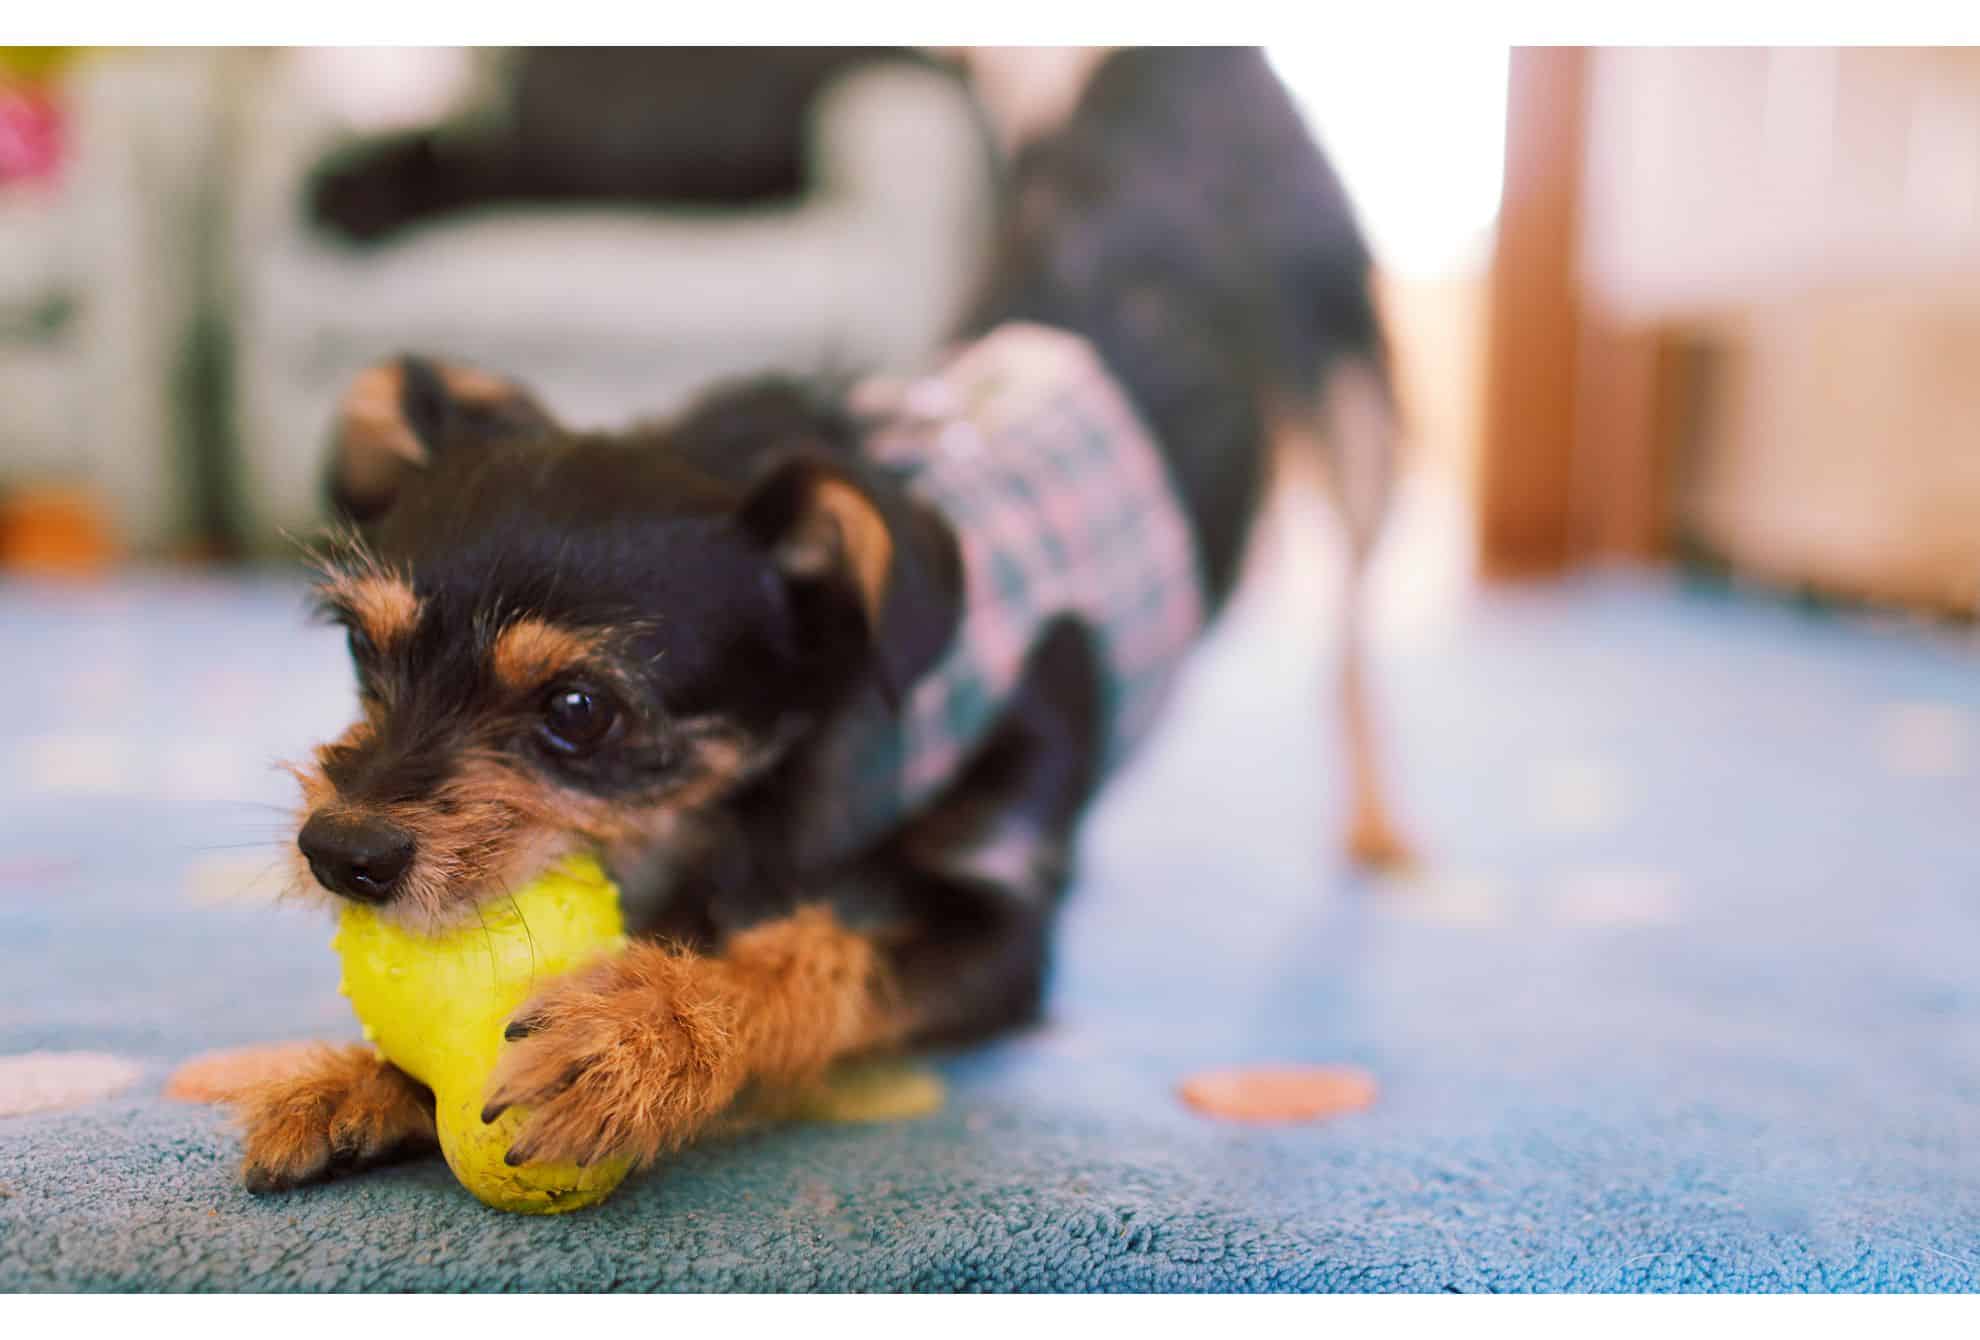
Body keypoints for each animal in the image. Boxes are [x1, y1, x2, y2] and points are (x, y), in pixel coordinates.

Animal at [235, 44, 1409, 1195]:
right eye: (360, 646)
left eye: (579, 710)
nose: (340, 851)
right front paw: (365, 1079)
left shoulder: (999, 934)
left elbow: (820, 955)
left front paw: (645, 1034)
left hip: (1361, 427)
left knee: (1356, 641)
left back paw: (1379, 832)